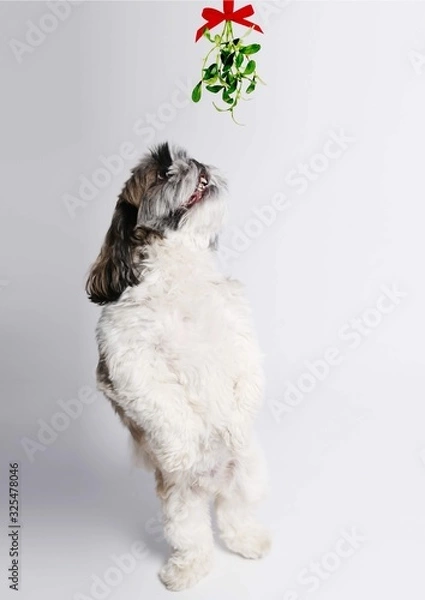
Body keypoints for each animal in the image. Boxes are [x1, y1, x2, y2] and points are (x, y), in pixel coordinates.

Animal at [85, 142, 270, 592]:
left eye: (184, 157)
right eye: (161, 173)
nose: (196, 164)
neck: (180, 277)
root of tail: (213, 485)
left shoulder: (237, 328)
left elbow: (246, 375)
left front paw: (236, 422)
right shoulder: (126, 360)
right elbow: (165, 405)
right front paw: (186, 445)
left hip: (249, 473)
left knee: (235, 512)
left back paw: (247, 539)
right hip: (179, 499)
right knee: (194, 535)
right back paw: (187, 569)